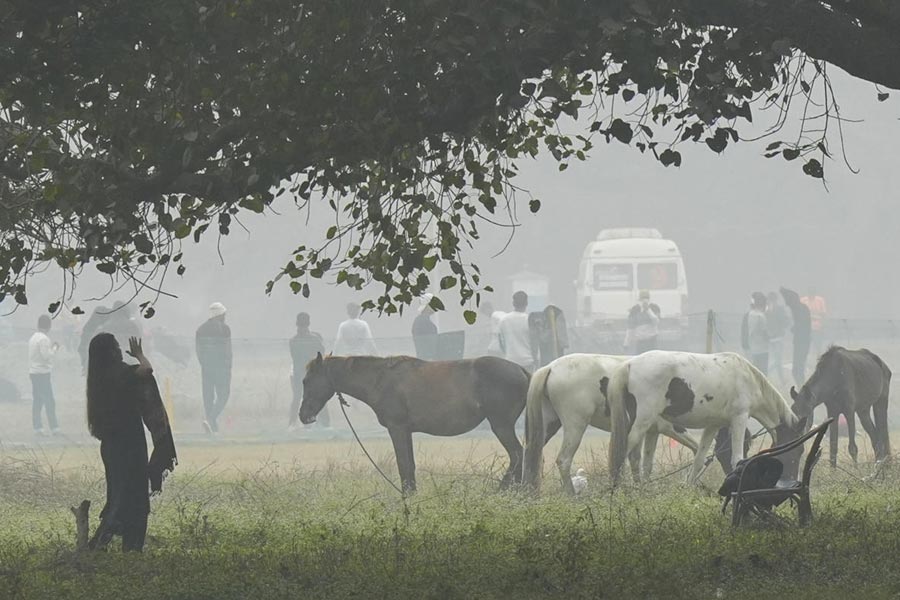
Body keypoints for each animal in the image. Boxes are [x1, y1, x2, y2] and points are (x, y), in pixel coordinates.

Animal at [298, 353, 528, 494]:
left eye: (306, 381)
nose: (303, 416)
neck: (380, 380)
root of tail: (522, 370)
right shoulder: (406, 431)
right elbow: (410, 466)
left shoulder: (397, 429)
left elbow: (404, 466)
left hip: (501, 426)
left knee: (517, 455)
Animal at [523, 354, 699, 494]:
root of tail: (550, 368)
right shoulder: (670, 427)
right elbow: (697, 448)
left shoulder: (649, 431)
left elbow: (638, 461)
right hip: (575, 425)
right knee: (563, 460)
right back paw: (572, 495)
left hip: (548, 424)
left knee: (532, 454)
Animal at [608, 351, 803, 485]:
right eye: (799, 450)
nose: (792, 478)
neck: (748, 378)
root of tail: (629, 365)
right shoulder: (739, 417)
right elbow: (737, 458)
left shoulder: (713, 425)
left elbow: (699, 461)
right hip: (643, 421)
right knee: (622, 454)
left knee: (634, 458)